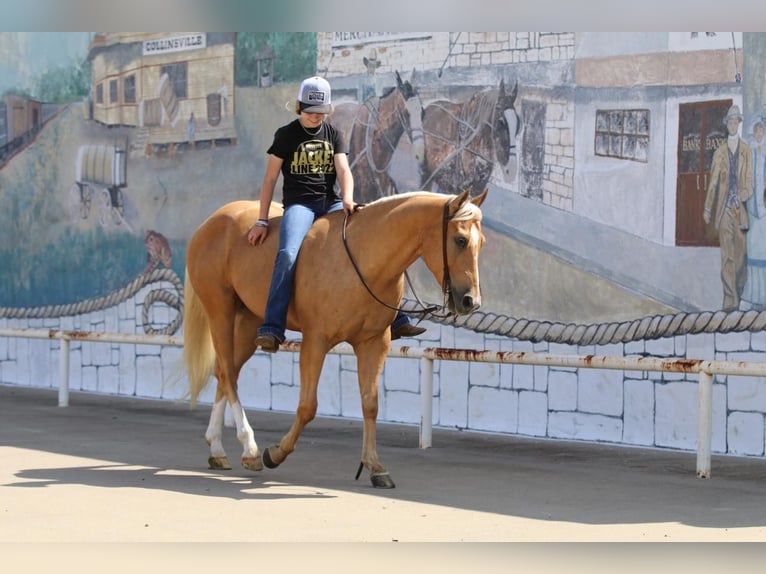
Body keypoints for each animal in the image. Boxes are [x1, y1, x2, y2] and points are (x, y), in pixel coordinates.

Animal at [183, 187, 488, 488]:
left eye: (481, 243)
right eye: (460, 240)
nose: (471, 301)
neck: (364, 260)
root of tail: (213, 221)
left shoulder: (373, 343)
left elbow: (370, 404)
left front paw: (375, 466)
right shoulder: (315, 341)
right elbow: (308, 407)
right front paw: (275, 453)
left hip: (249, 321)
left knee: (226, 372)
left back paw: (217, 450)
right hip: (220, 311)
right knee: (228, 374)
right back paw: (250, 448)